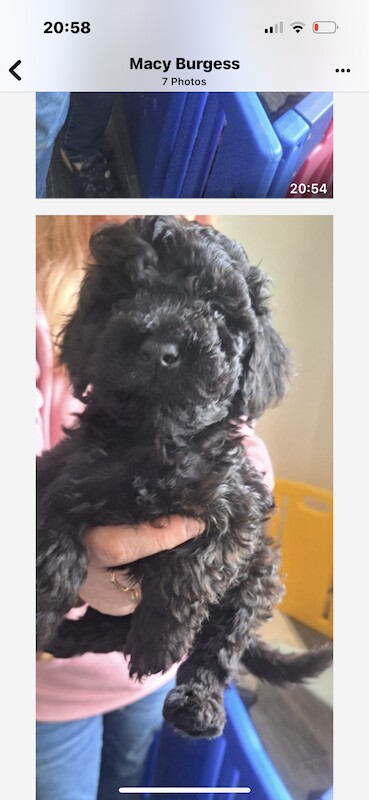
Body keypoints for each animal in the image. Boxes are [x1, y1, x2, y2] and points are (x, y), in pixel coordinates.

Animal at [36, 217, 330, 736]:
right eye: (123, 297)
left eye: (215, 308)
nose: (158, 348)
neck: (156, 442)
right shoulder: (68, 470)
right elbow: (54, 527)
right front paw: (40, 606)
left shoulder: (239, 512)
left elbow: (194, 565)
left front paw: (159, 639)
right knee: (107, 632)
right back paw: (64, 636)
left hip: (259, 573)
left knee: (219, 646)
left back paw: (196, 703)